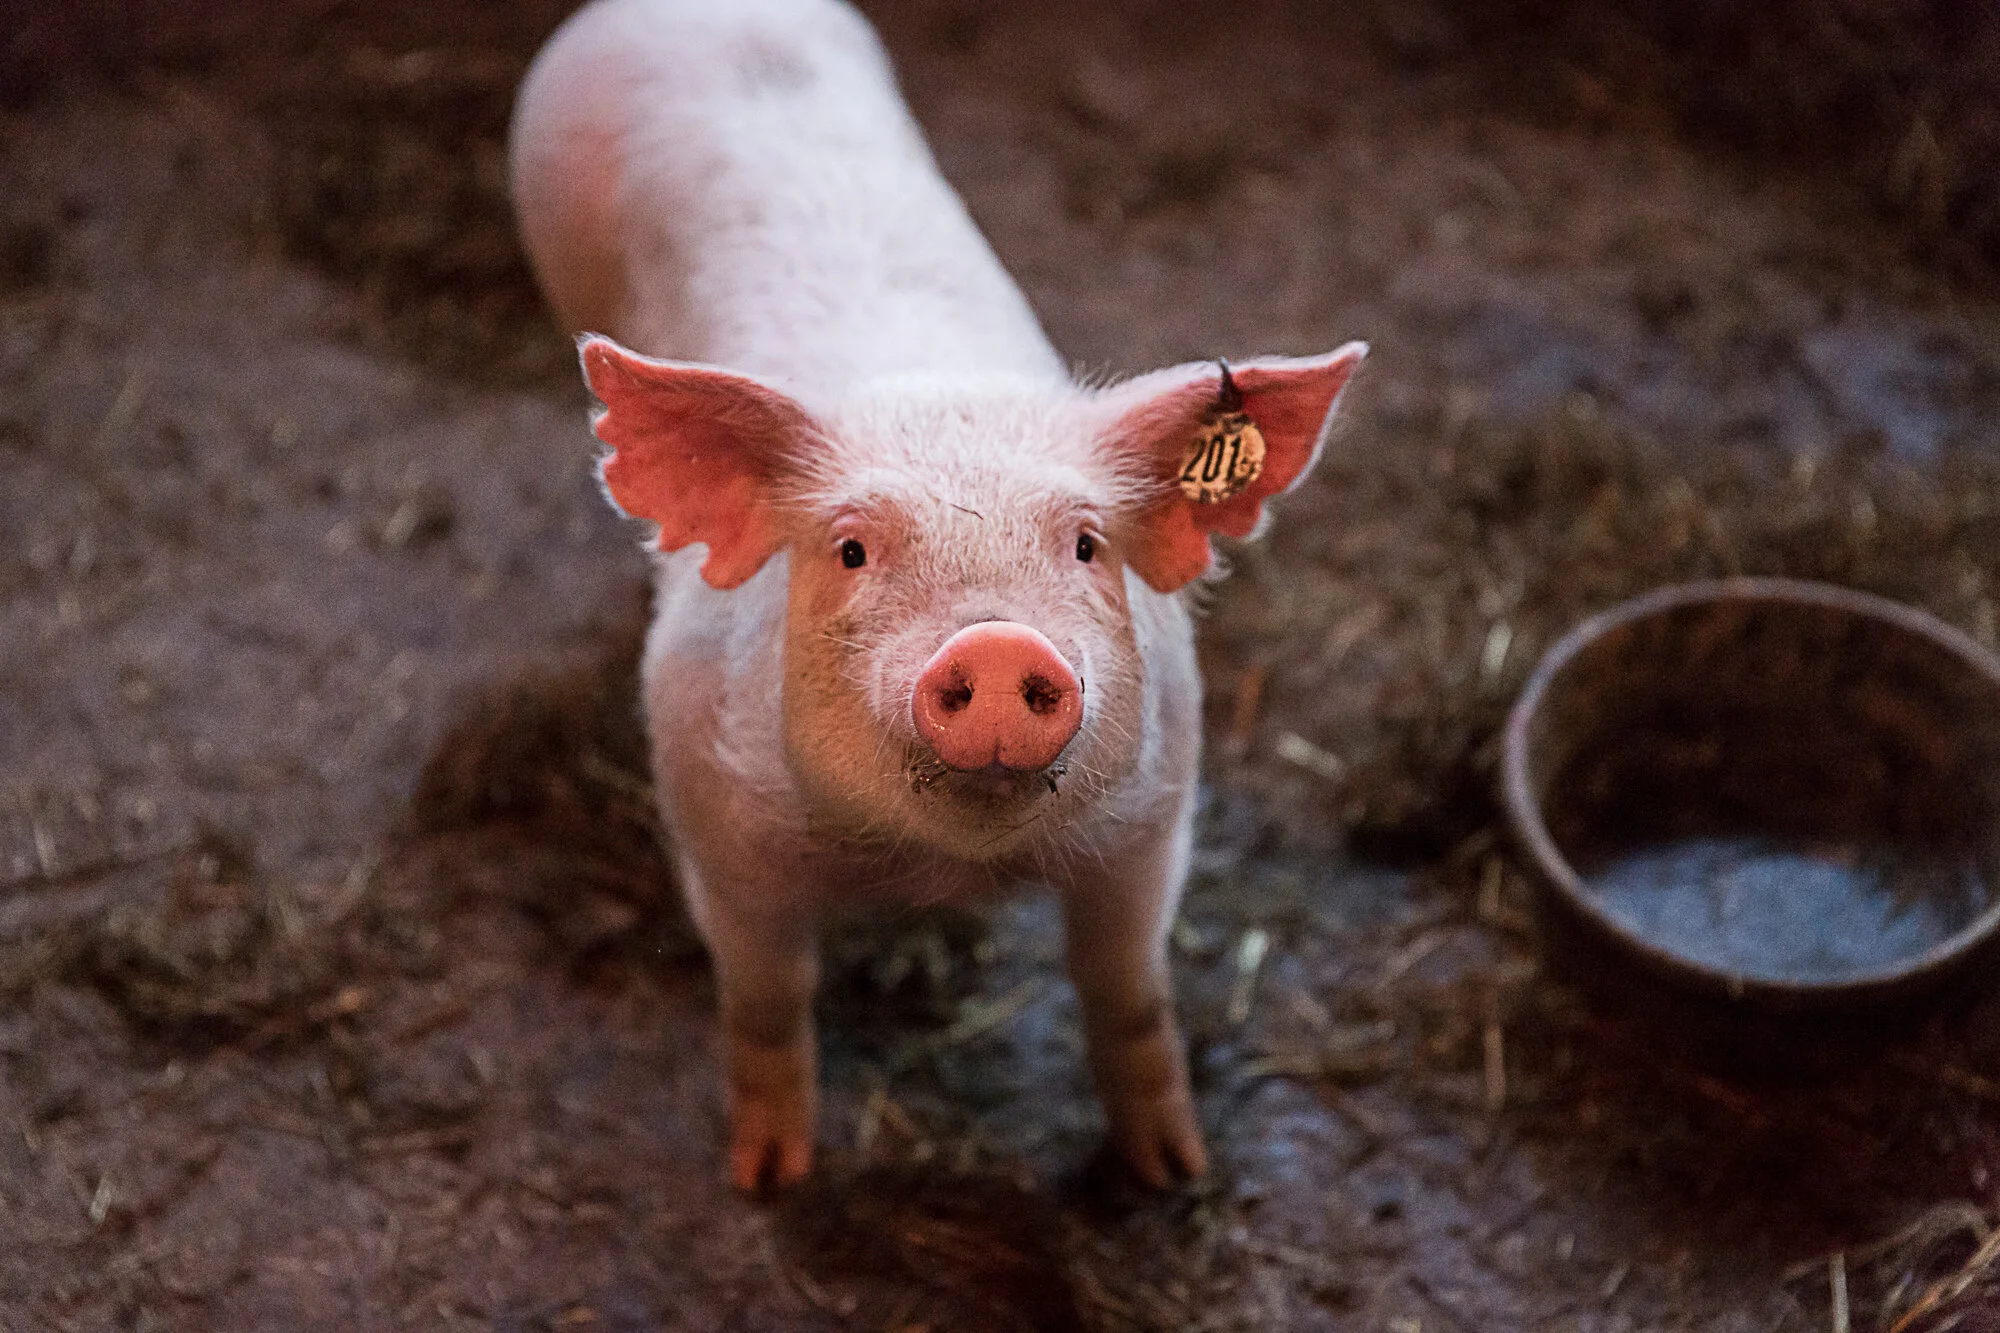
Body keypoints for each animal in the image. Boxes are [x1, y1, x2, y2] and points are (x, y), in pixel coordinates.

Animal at [510, 0, 1365, 1191]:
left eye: (1086, 545)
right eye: (851, 550)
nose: (999, 645)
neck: (936, 873)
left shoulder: (1153, 824)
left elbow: (1128, 992)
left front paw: (1171, 1170)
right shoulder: (715, 836)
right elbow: (765, 999)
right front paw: (768, 1176)